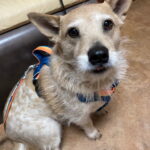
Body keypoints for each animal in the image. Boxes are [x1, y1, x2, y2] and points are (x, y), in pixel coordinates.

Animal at [0, 0, 131, 150]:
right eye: (73, 32)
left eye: (108, 23)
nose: (98, 55)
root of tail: (13, 139)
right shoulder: (79, 116)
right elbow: (88, 124)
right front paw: (93, 133)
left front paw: (99, 110)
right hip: (51, 128)